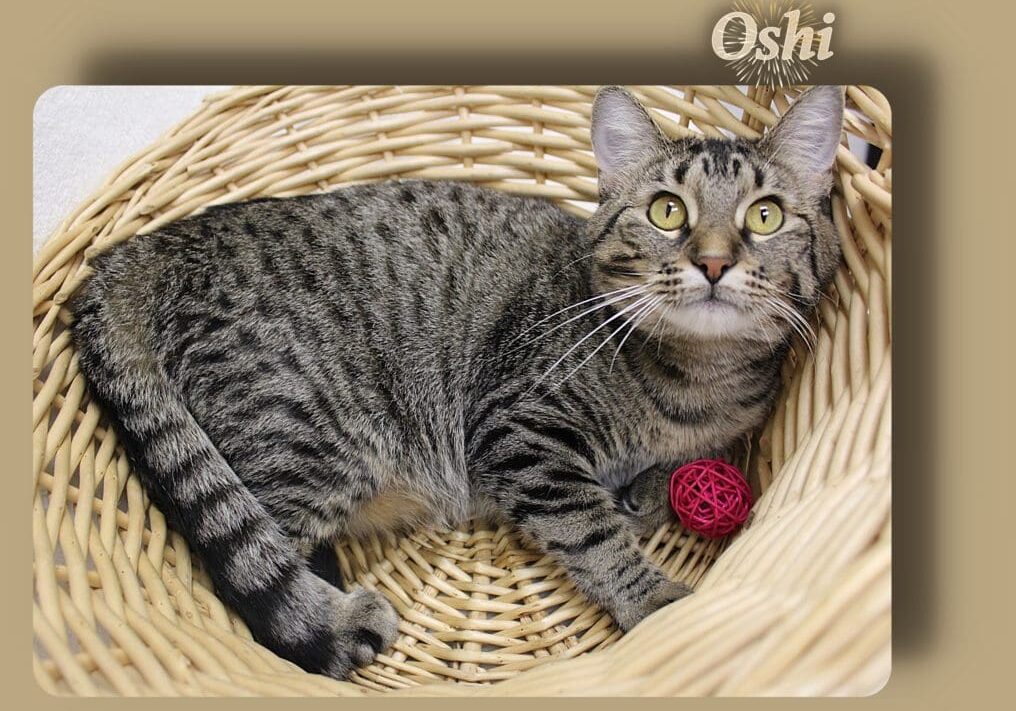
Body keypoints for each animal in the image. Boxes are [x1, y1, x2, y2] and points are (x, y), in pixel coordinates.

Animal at [71, 84, 845, 678]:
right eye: (667, 211)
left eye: (766, 215)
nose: (713, 261)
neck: (693, 381)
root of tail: (148, 248)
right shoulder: (520, 430)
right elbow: (590, 530)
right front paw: (655, 602)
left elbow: (673, 472)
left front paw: (649, 493)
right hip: (305, 433)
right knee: (254, 563)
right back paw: (331, 618)